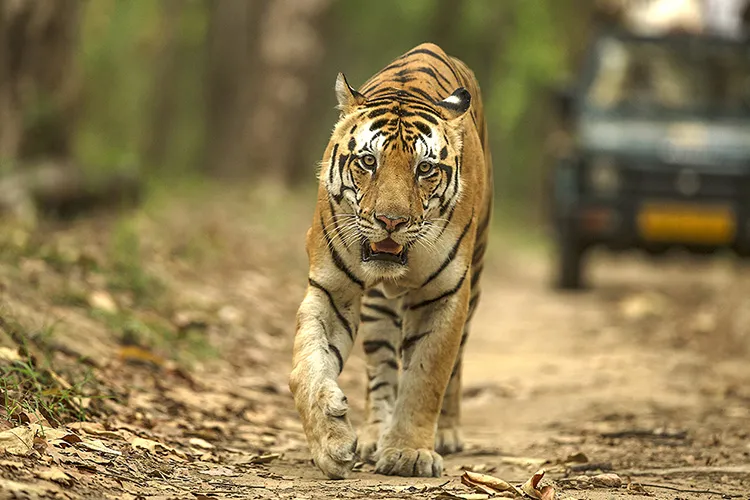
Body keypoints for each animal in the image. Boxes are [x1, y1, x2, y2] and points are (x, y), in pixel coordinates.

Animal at [290, 44, 496, 480]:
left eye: (425, 168)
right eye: (369, 162)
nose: (391, 221)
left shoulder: (445, 294)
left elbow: (426, 376)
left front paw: (408, 453)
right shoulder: (332, 288)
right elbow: (307, 366)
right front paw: (331, 442)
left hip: (476, 281)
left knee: (456, 365)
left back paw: (445, 433)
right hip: (376, 310)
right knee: (380, 370)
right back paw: (372, 435)